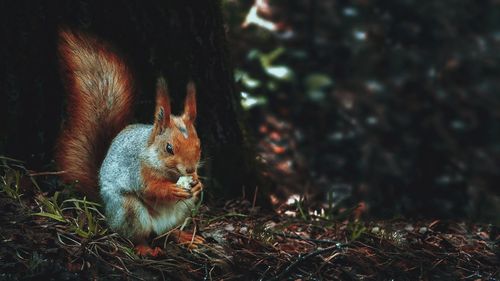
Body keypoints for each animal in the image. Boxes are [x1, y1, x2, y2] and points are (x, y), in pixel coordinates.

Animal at [55, 29, 203, 255]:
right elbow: (150, 189)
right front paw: (171, 189)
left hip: (183, 209)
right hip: (129, 210)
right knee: (137, 236)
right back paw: (146, 249)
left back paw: (183, 236)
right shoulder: (137, 171)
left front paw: (198, 183)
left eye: (199, 145)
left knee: (167, 233)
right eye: (169, 148)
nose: (189, 170)